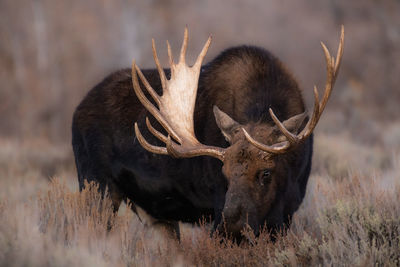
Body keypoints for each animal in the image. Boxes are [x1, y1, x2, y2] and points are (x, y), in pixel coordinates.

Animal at [71, 27, 344, 241]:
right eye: (224, 173)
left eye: (266, 173)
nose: (231, 225)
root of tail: (77, 112)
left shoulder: (287, 213)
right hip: (96, 188)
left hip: (155, 215)